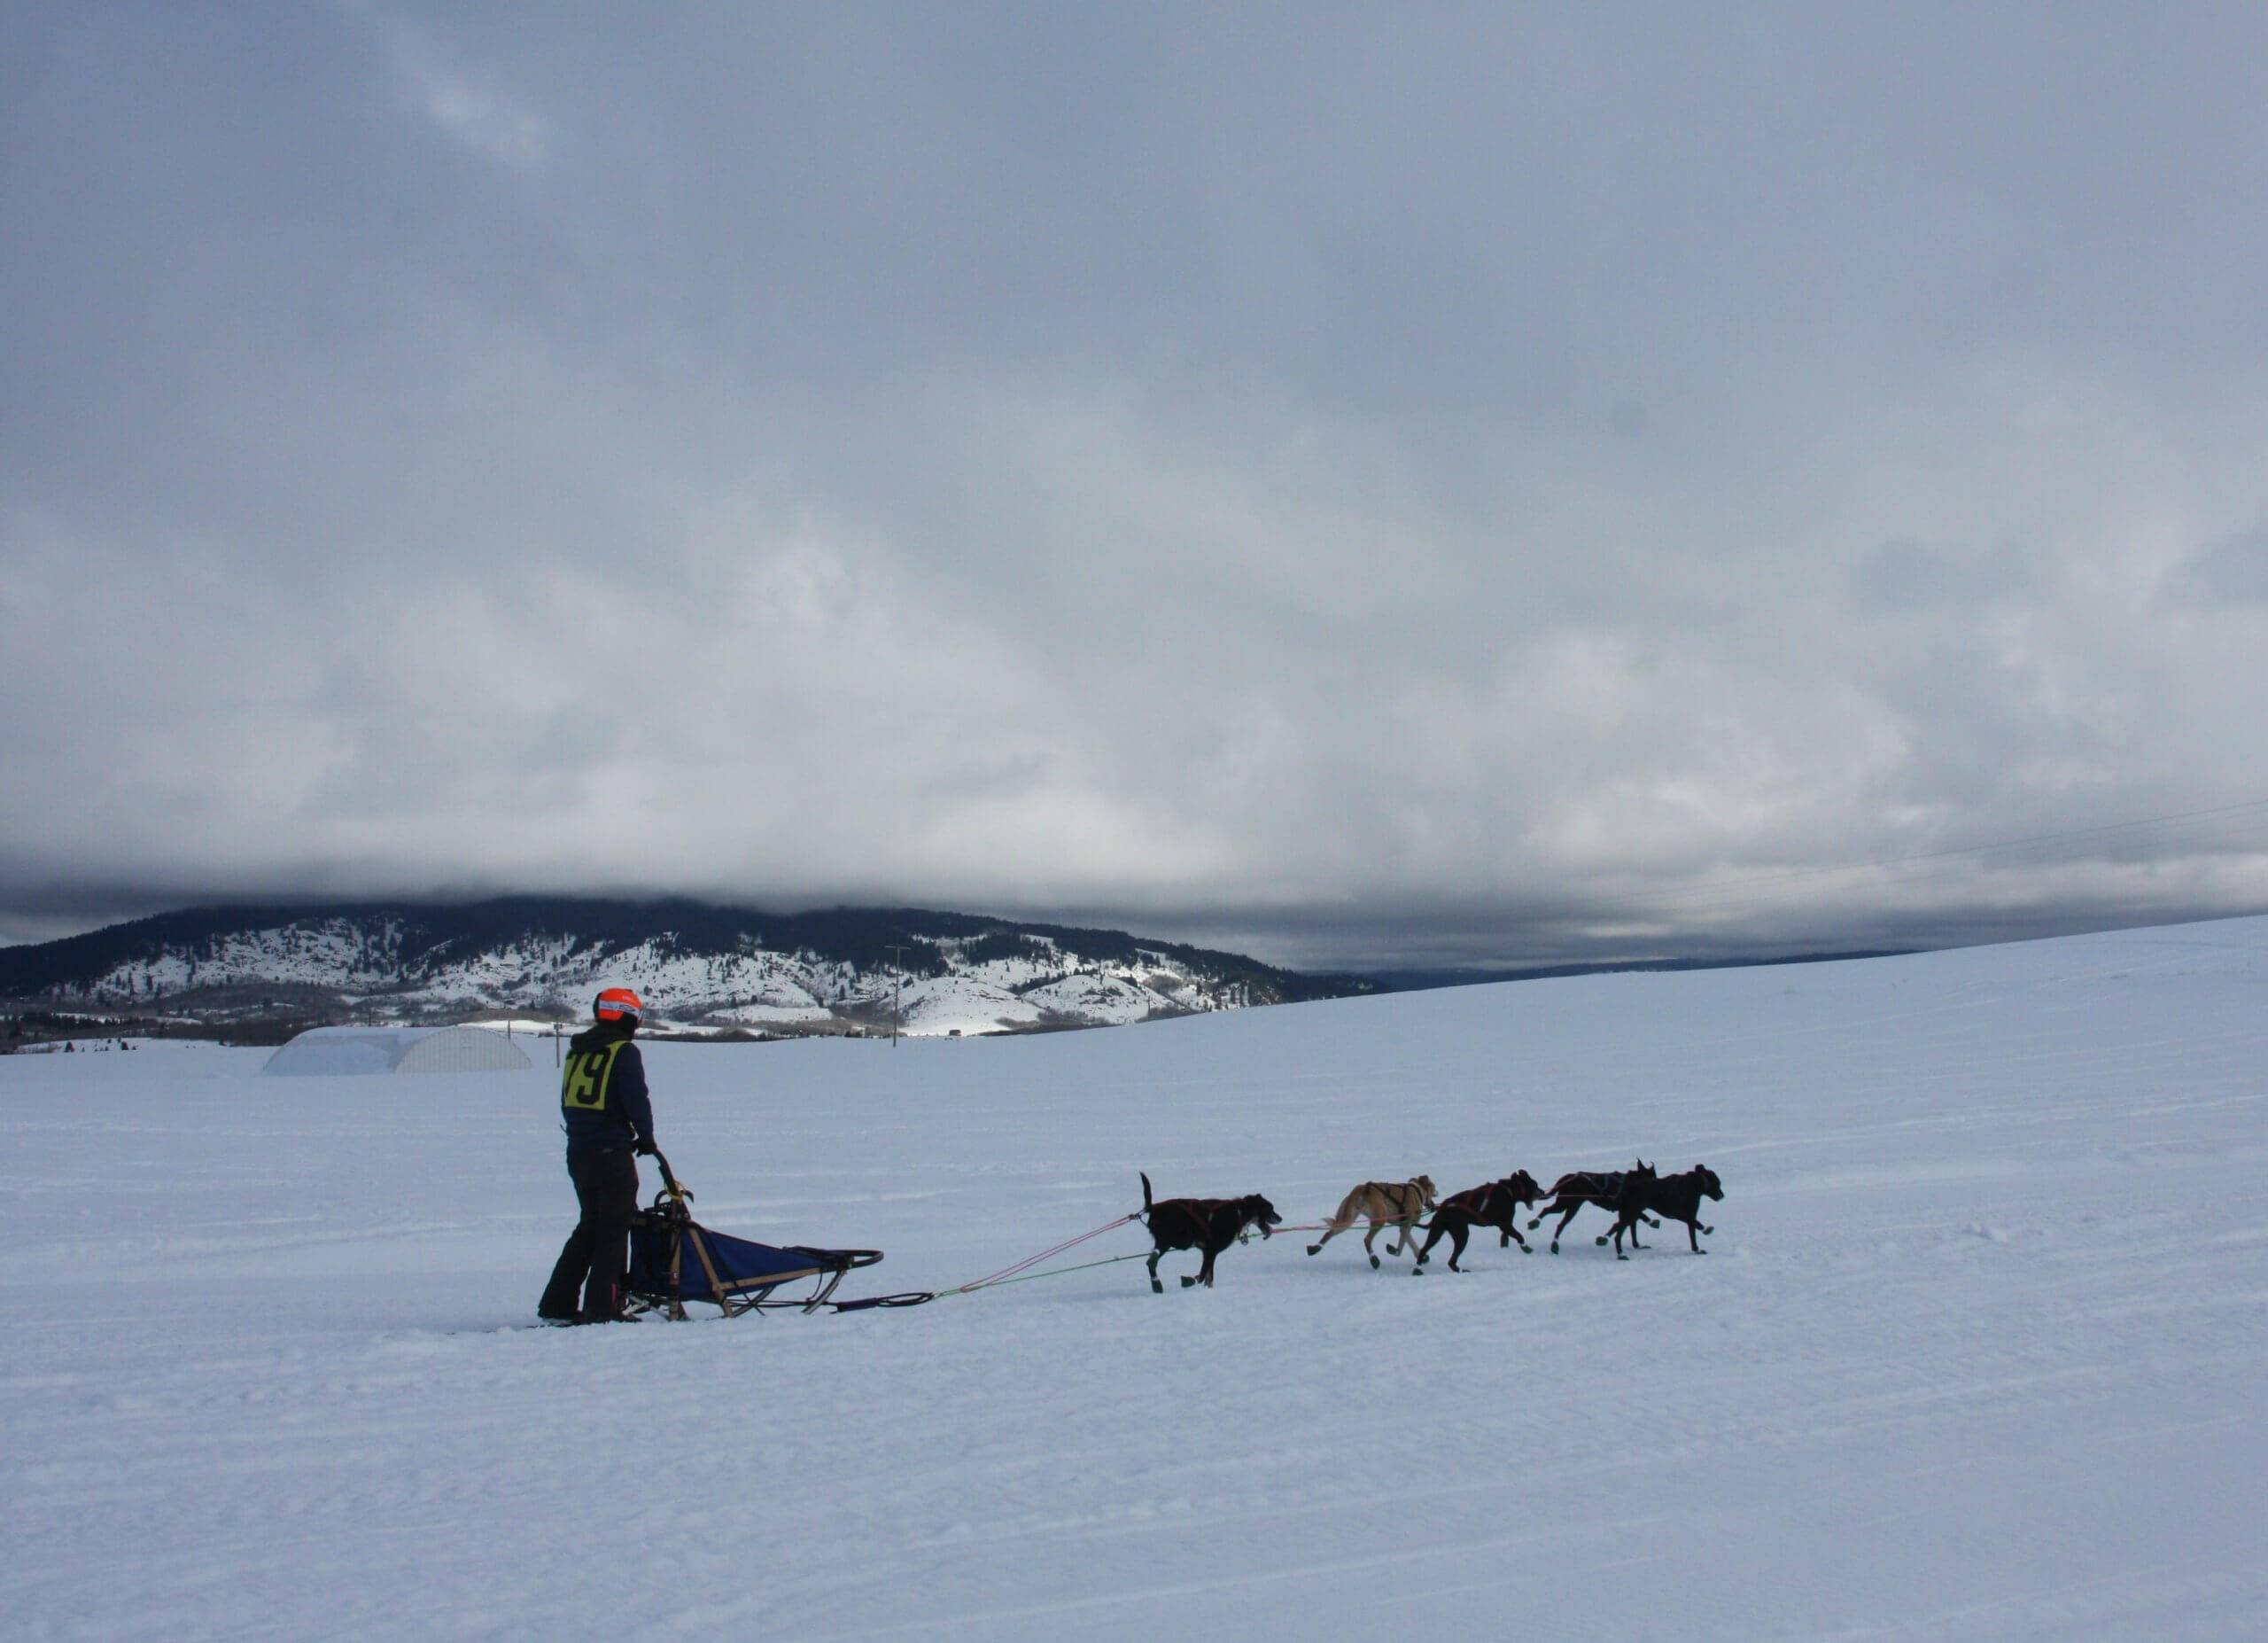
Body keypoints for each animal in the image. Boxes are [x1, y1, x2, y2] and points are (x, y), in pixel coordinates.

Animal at [1306, 1171, 1424, 1261]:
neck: (1415, 1190)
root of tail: (1363, 1189)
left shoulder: (1404, 1226)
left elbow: (1403, 1243)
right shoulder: (1406, 1224)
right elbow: (1408, 1242)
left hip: (1348, 1219)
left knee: (1329, 1233)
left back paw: (1314, 1249)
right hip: (1379, 1220)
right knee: (1367, 1240)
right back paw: (1374, 1260)